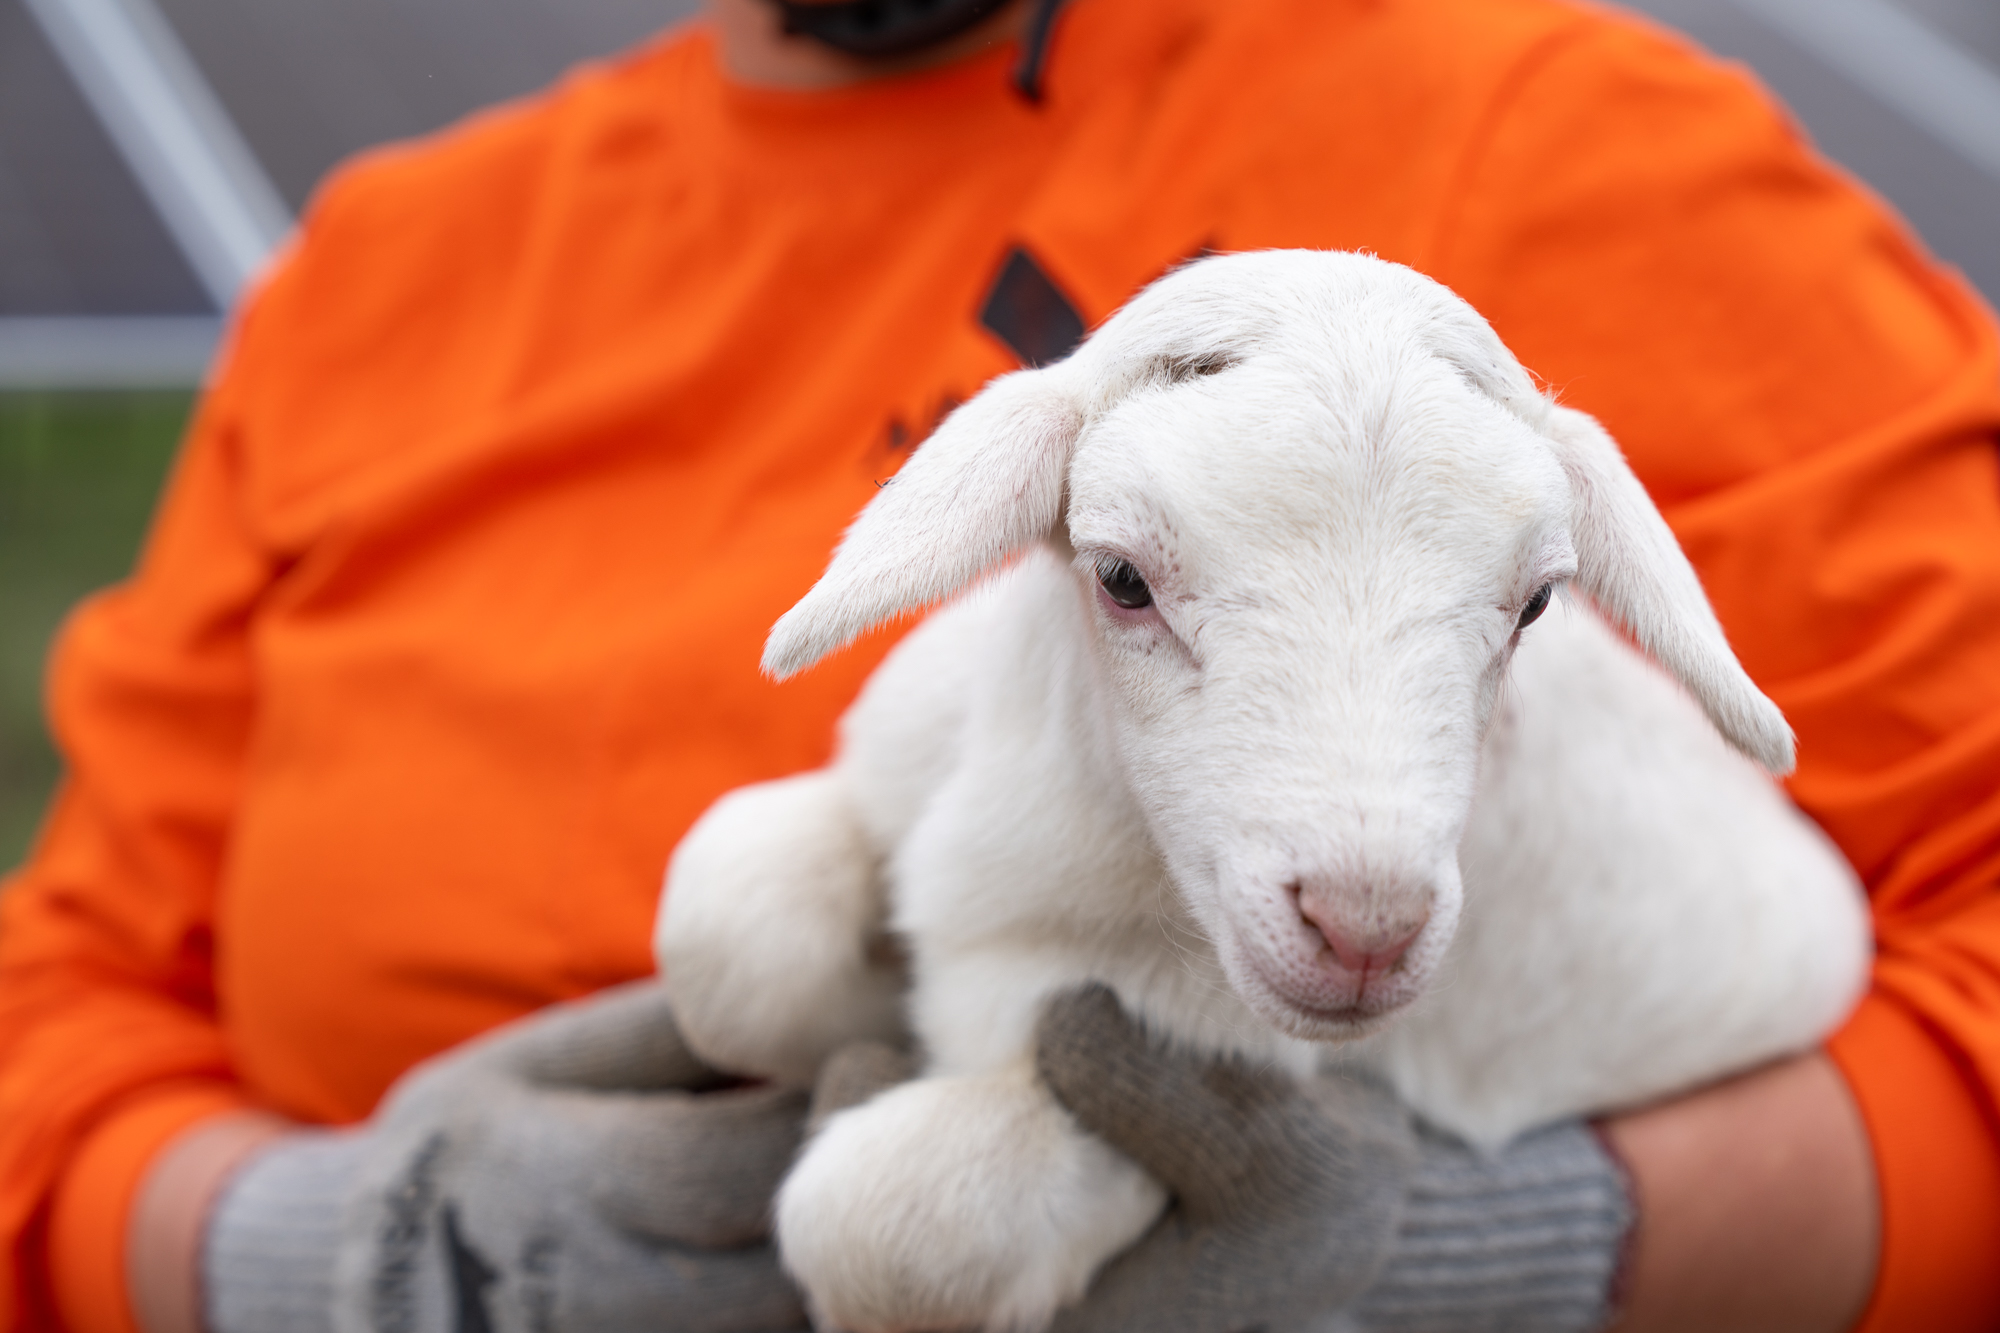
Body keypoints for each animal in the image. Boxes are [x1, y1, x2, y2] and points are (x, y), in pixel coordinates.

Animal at [654, 250, 1871, 1333]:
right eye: (1121, 579)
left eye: (1534, 604)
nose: (1365, 926)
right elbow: (723, 932)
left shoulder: (1168, 1068)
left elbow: (870, 1225)